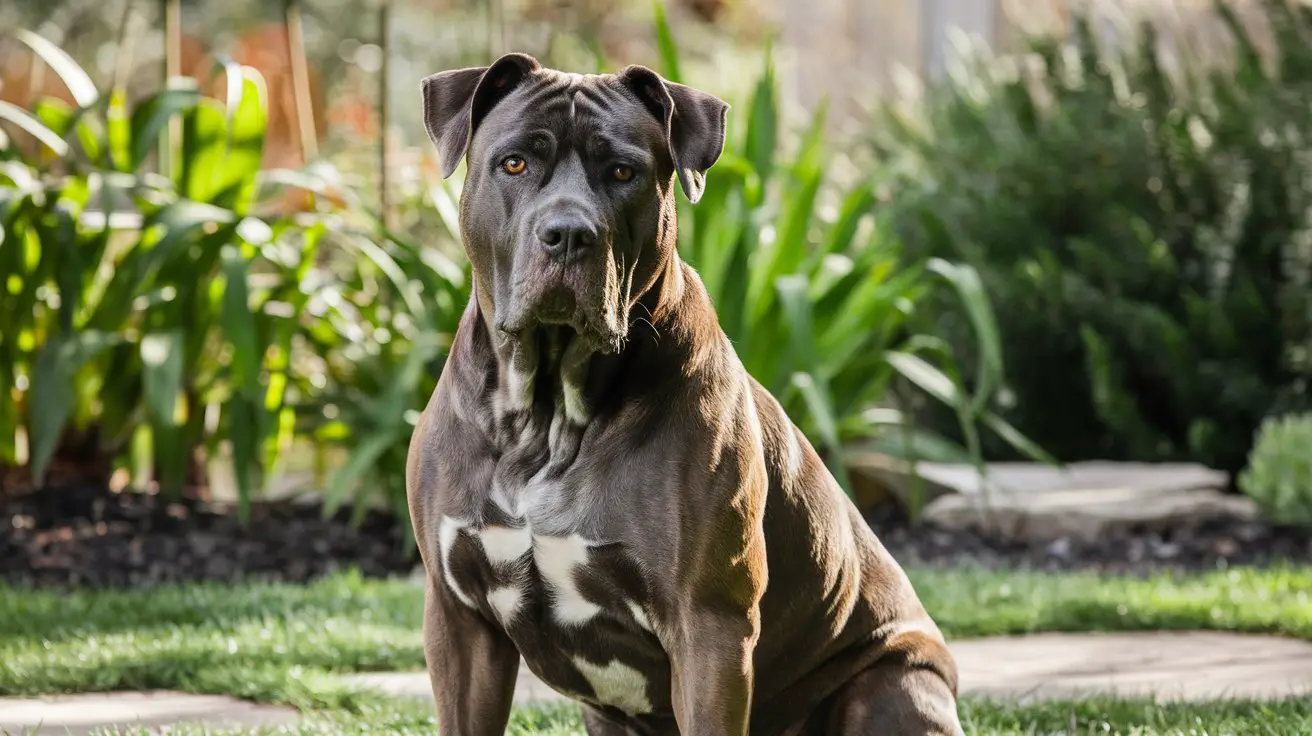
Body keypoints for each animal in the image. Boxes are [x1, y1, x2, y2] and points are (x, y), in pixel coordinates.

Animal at [404, 53, 970, 734]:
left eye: (623, 172)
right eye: (514, 163)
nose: (568, 233)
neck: (547, 412)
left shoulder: (709, 626)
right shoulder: (459, 620)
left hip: (890, 685)